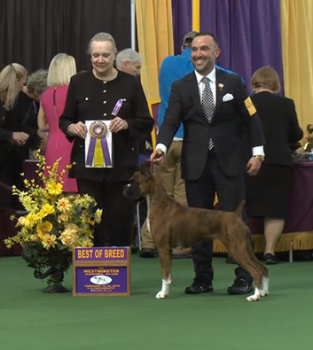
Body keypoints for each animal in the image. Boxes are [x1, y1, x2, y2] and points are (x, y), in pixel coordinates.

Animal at [123, 161, 268, 300]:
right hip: (246, 248)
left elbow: (164, 274)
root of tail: (235, 215)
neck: (159, 203)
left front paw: (162, 294)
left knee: (256, 272)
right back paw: (263, 292)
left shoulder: (162, 247)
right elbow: (168, 274)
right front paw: (166, 292)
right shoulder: (168, 249)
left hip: (237, 249)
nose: (124, 188)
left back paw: (254, 296)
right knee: (263, 268)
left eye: (134, 182)